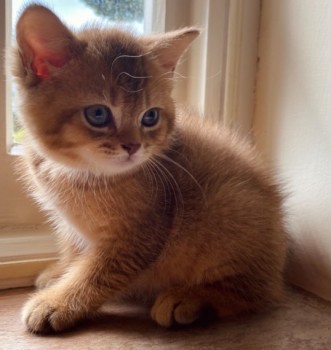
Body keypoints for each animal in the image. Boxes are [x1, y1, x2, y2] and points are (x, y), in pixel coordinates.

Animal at [11, 4, 288, 334]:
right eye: (98, 114)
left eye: (150, 117)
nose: (133, 146)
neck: (82, 173)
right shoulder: (71, 225)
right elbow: (76, 251)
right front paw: (62, 272)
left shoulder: (140, 235)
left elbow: (98, 273)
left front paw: (59, 302)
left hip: (229, 207)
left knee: (254, 293)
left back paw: (190, 299)